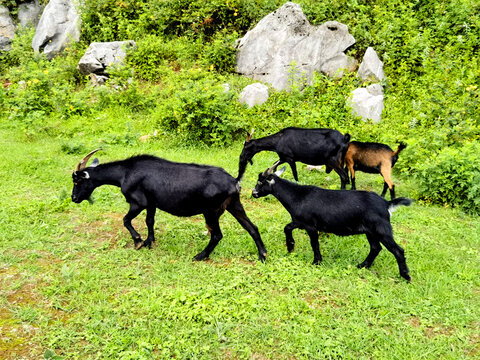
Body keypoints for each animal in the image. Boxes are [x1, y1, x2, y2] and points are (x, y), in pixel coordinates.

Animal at [71, 149, 266, 262]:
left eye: (77, 181)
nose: (73, 198)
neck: (124, 173)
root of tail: (234, 181)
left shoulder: (138, 202)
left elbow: (125, 220)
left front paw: (138, 241)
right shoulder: (151, 202)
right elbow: (150, 221)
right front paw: (149, 241)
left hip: (211, 211)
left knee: (217, 235)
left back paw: (200, 256)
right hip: (234, 204)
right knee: (252, 227)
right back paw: (263, 255)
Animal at [251, 161, 412, 282]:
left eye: (260, 182)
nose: (253, 193)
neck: (297, 196)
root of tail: (386, 204)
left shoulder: (310, 225)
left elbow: (314, 243)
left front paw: (316, 262)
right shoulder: (300, 222)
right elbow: (287, 227)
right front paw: (291, 246)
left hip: (381, 229)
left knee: (397, 250)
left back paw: (406, 276)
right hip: (370, 231)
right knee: (375, 248)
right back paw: (362, 266)